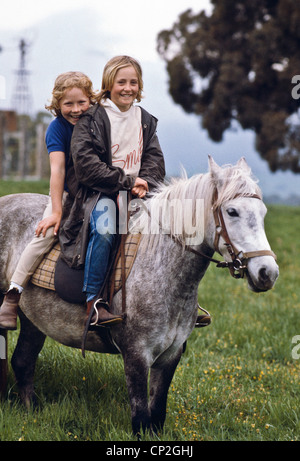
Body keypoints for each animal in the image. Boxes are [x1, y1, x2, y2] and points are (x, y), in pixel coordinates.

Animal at [0, 156, 278, 434]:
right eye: (232, 212)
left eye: (263, 213)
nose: (268, 273)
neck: (162, 270)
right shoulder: (136, 355)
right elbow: (141, 419)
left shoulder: (170, 356)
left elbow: (157, 414)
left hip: (33, 320)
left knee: (22, 361)